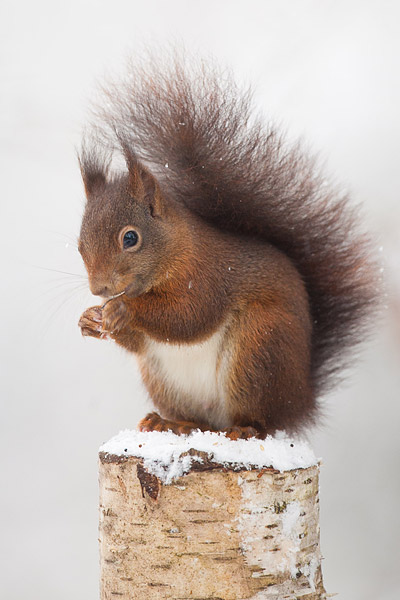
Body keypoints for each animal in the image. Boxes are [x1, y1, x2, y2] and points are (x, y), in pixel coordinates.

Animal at [77, 54, 378, 440]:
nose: (98, 289)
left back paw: (246, 429)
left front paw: (123, 309)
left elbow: (188, 316)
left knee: (262, 419)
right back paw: (171, 422)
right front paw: (89, 319)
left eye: (130, 238)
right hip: (164, 380)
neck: (176, 250)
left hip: (258, 347)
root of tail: (301, 400)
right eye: (80, 243)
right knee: (200, 420)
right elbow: (140, 341)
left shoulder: (208, 276)